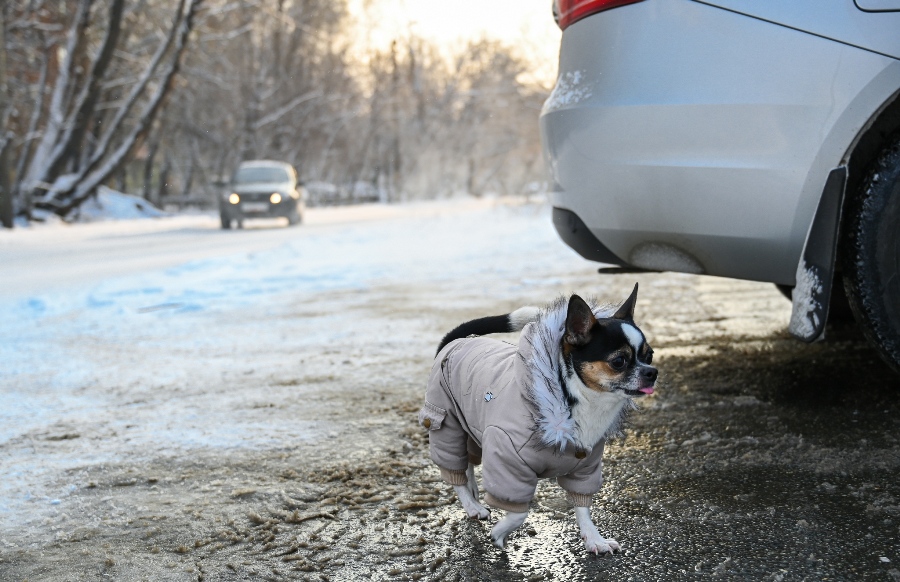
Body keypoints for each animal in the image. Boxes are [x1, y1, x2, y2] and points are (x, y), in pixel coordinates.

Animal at [418, 286, 656, 556]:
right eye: (619, 361)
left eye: (650, 355)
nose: (652, 372)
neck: (576, 400)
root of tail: (456, 341)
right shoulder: (507, 461)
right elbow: (519, 512)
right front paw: (500, 533)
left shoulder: (585, 466)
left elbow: (583, 507)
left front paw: (594, 539)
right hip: (446, 423)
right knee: (453, 470)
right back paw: (471, 505)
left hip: (471, 427)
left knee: (466, 461)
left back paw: (473, 491)